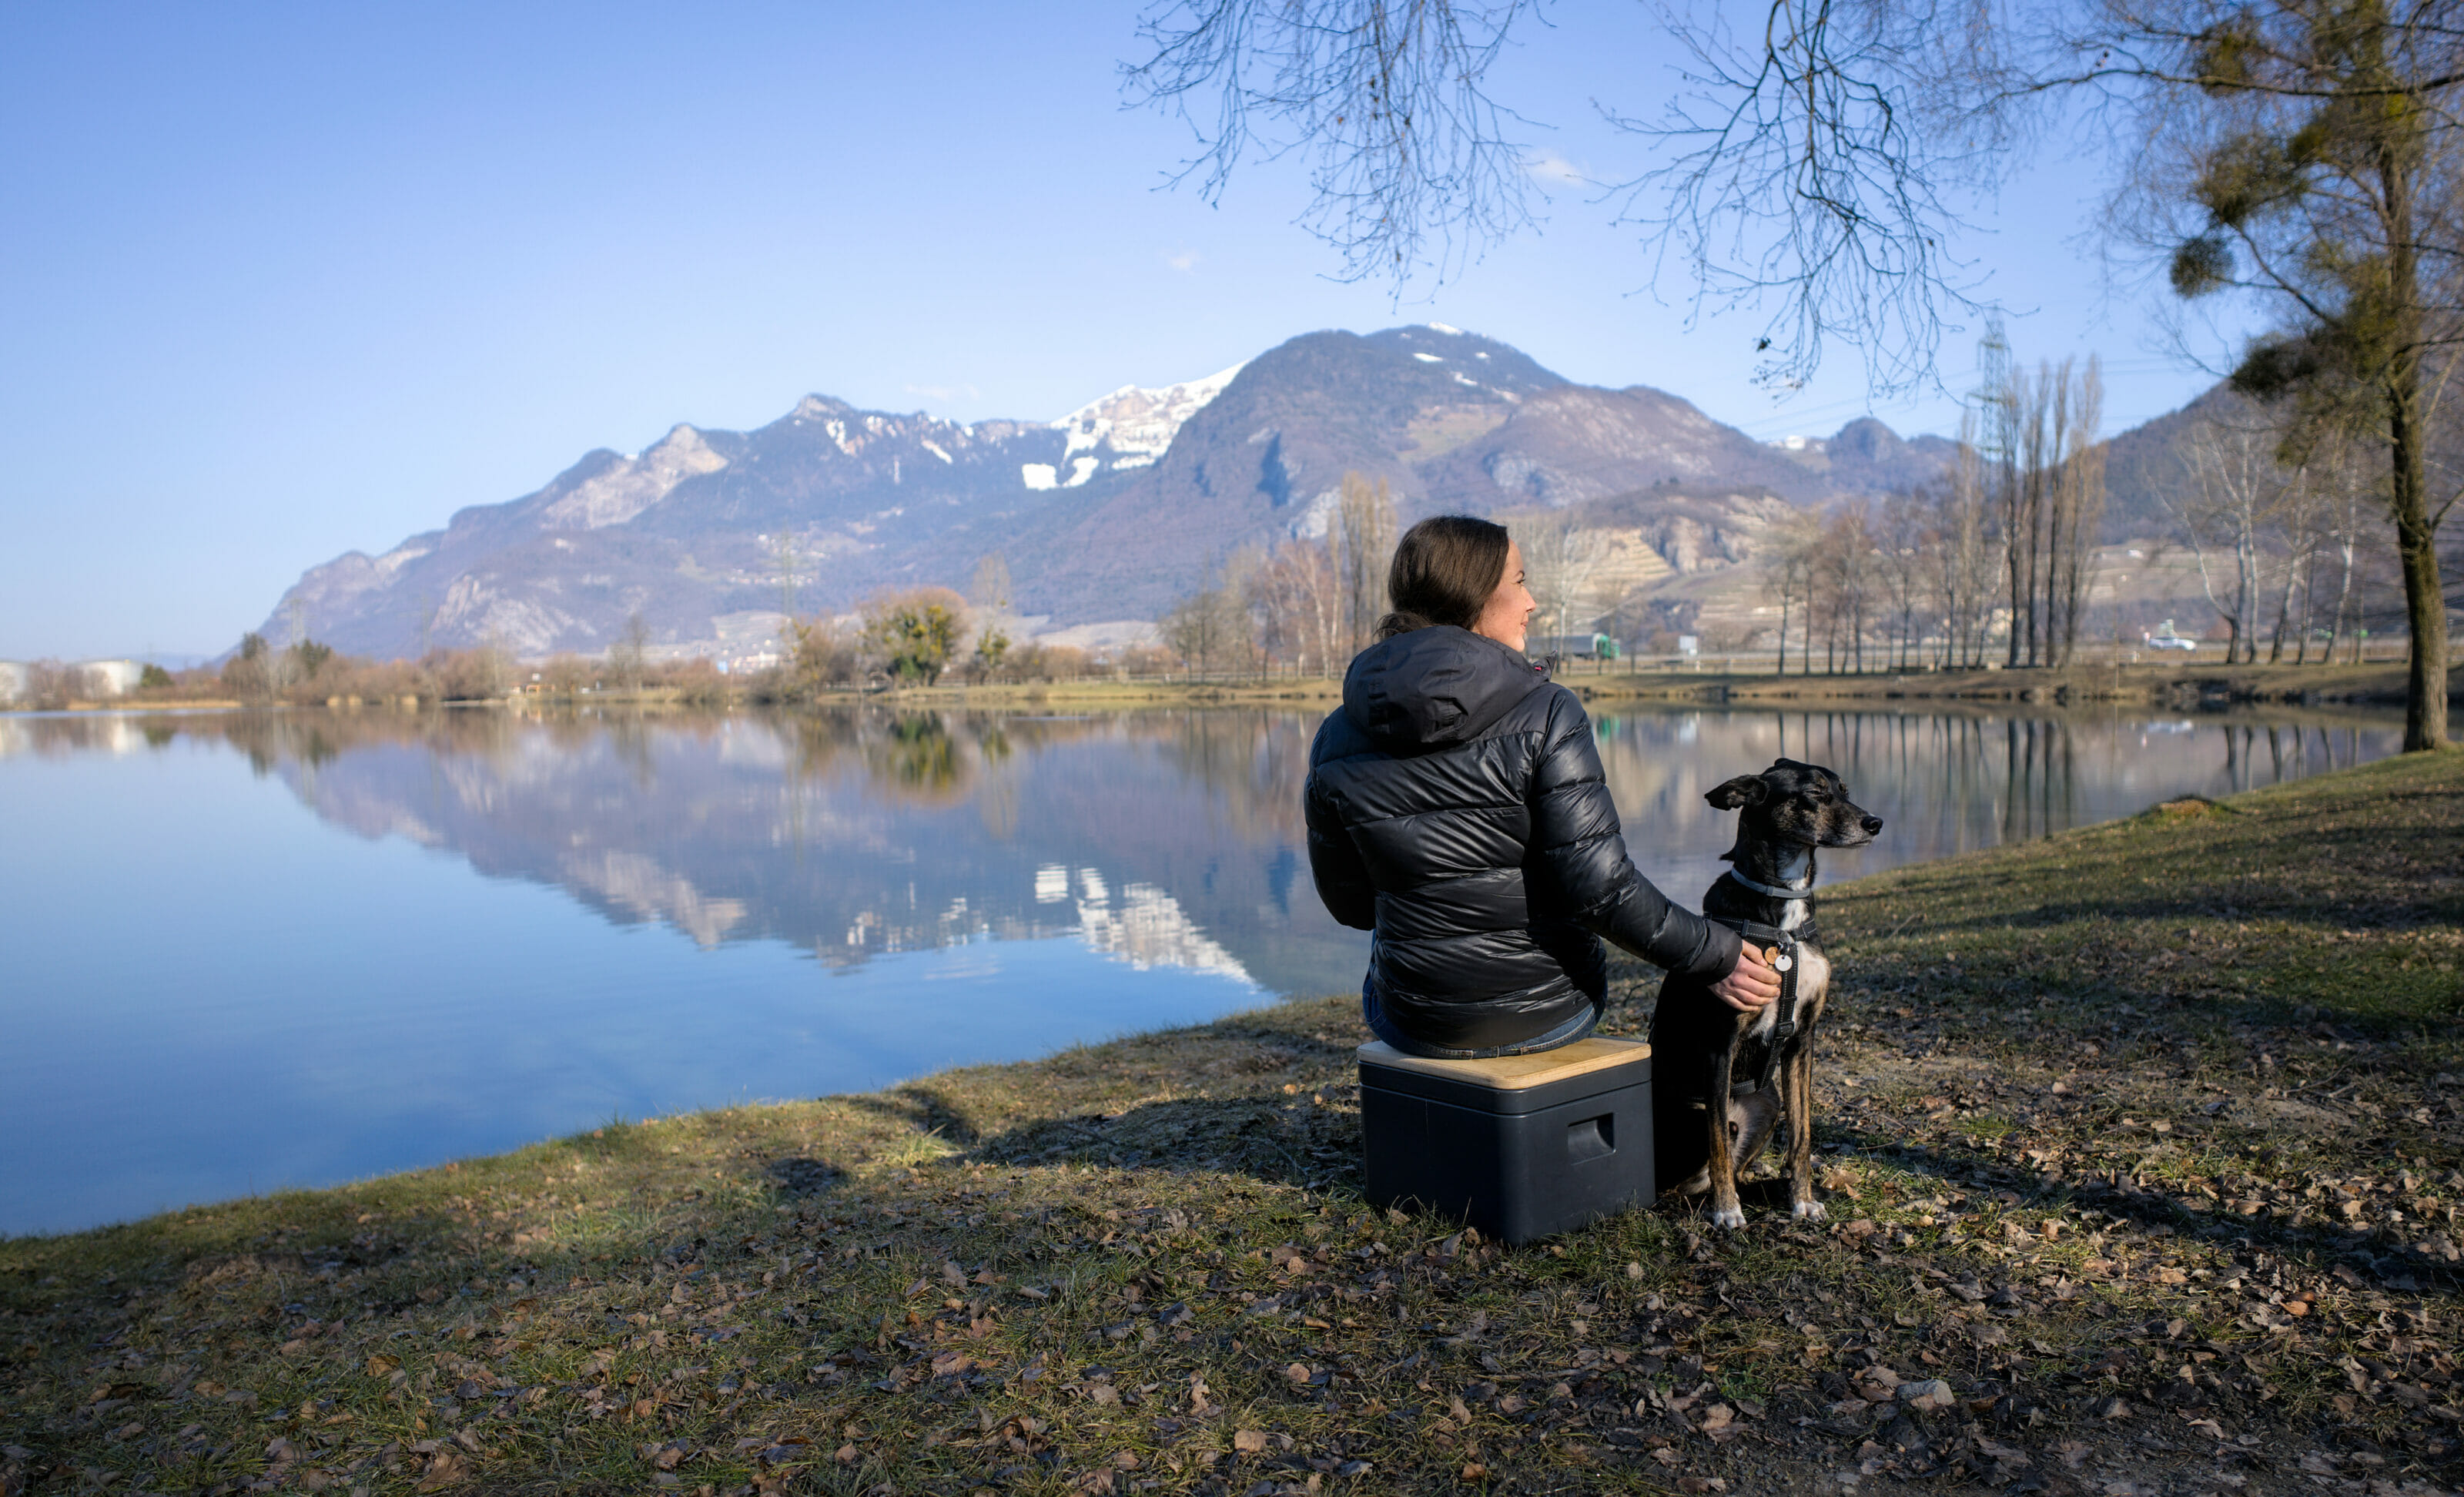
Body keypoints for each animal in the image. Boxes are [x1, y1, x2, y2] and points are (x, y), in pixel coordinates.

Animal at [1656, 758, 1882, 1226]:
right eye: (1814, 793)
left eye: (1844, 790)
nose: (1875, 823)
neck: (1783, 920)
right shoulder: (1720, 1044)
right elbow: (1718, 1144)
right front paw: (1727, 1211)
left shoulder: (1802, 1040)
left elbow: (1802, 1135)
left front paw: (1801, 1200)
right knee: (1699, 1166)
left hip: (1767, 1101)